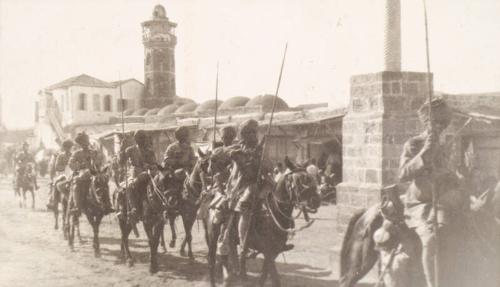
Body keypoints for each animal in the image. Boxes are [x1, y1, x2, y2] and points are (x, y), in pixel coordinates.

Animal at [206, 158, 320, 287]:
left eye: (311, 178)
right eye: (299, 180)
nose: (316, 200)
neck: (274, 211)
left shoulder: (273, 252)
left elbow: (264, 277)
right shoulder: (268, 251)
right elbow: (275, 279)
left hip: (230, 238)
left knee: (226, 257)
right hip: (212, 237)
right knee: (212, 261)